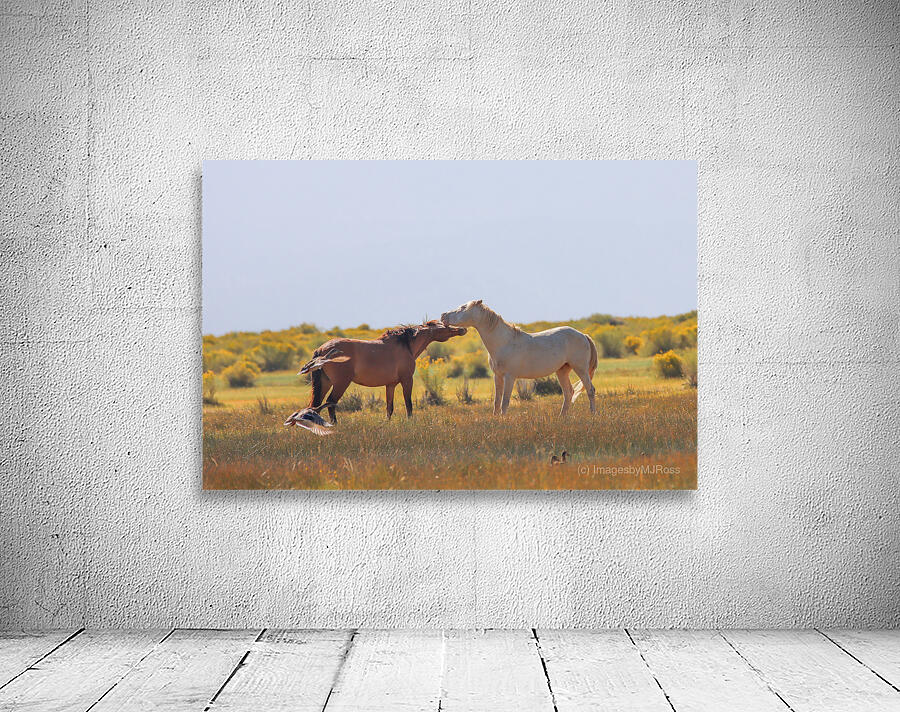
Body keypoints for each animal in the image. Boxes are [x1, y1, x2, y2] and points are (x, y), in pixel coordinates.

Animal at [297, 320, 467, 422]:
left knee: (315, 405)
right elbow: (408, 403)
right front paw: (410, 422)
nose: (462, 329)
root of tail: (321, 350)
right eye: (445, 325)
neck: (405, 345)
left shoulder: (390, 384)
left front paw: (387, 423)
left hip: (325, 383)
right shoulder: (407, 380)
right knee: (330, 403)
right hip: (341, 383)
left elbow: (389, 407)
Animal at [440, 299, 596, 416]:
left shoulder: (510, 377)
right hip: (562, 371)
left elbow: (505, 401)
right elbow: (497, 401)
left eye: (463, 307)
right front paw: (495, 419)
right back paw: (561, 417)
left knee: (590, 390)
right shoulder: (497, 376)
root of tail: (583, 335)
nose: (443, 315)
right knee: (568, 393)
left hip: (580, 369)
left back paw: (592, 415)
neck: (504, 342)